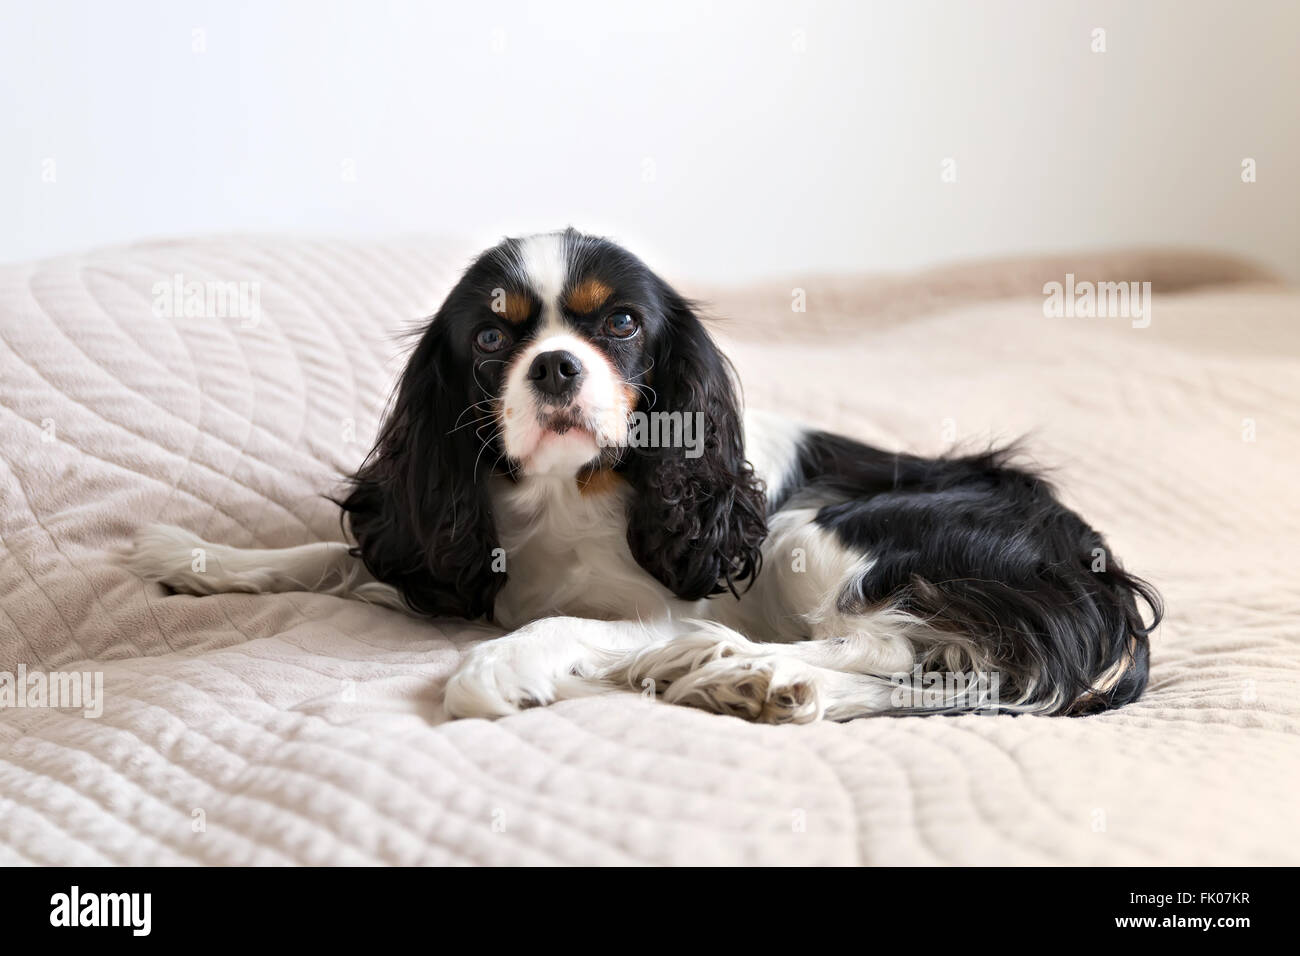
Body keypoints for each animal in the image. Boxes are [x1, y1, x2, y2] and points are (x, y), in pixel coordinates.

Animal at [126, 230, 1164, 723]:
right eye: (494, 337)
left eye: (620, 324)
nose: (555, 366)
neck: (562, 494)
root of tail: (1092, 566)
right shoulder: (442, 551)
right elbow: (342, 555)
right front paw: (194, 556)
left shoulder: (675, 597)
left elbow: (555, 624)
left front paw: (492, 670)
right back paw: (747, 683)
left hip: (809, 535)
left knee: (914, 651)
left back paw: (742, 667)